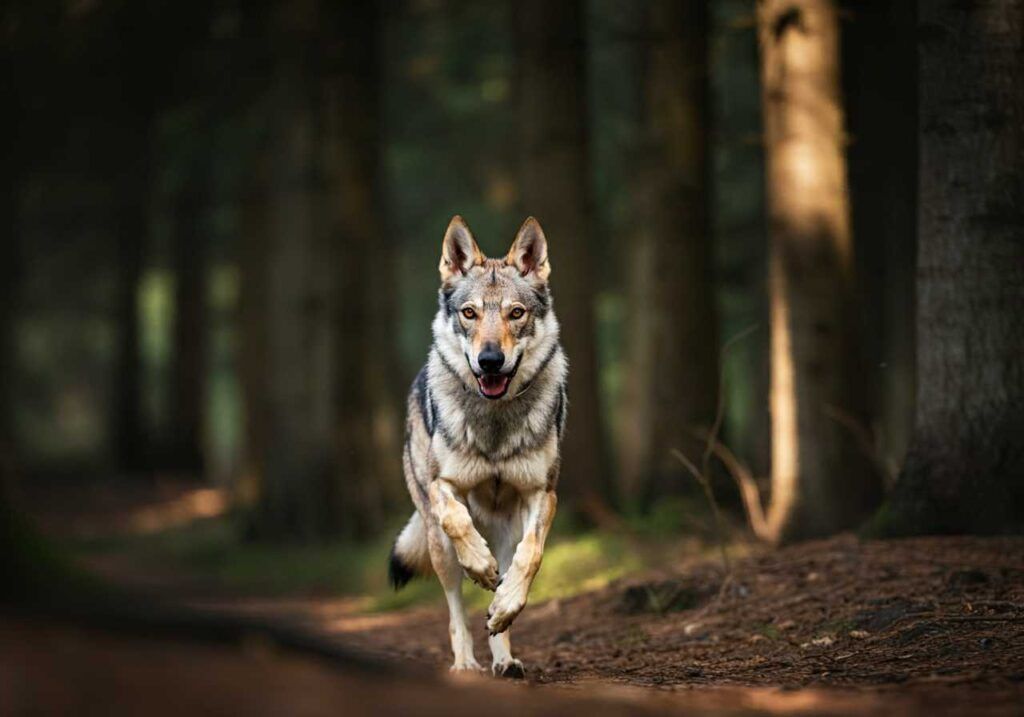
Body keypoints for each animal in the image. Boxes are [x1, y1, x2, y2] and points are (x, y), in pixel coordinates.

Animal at [388, 215, 567, 678]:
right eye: (469, 313)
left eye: (515, 313)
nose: (489, 361)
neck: (495, 422)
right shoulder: (442, 487)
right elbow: (459, 522)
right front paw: (480, 566)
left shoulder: (542, 494)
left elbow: (532, 557)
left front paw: (505, 606)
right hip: (436, 544)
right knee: (455, 607)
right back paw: (467, 663)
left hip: (509, 527)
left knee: (505, 579)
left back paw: (504, 657)